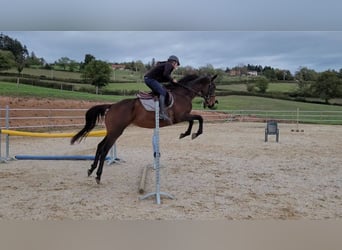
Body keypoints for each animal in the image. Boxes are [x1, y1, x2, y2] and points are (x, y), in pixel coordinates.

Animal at [71, 74, 218, 184]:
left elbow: (194, 120)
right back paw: (98, 175)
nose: (212, 103)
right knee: (105, 150)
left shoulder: (183, 117)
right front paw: (194, 134)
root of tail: (112, 106)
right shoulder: (181, 116)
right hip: (116, 132)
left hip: (112, 131)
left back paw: (91, 169)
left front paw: (186, 134)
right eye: (213, 87)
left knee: (100, 146)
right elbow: (199, 118)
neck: (184, 94)